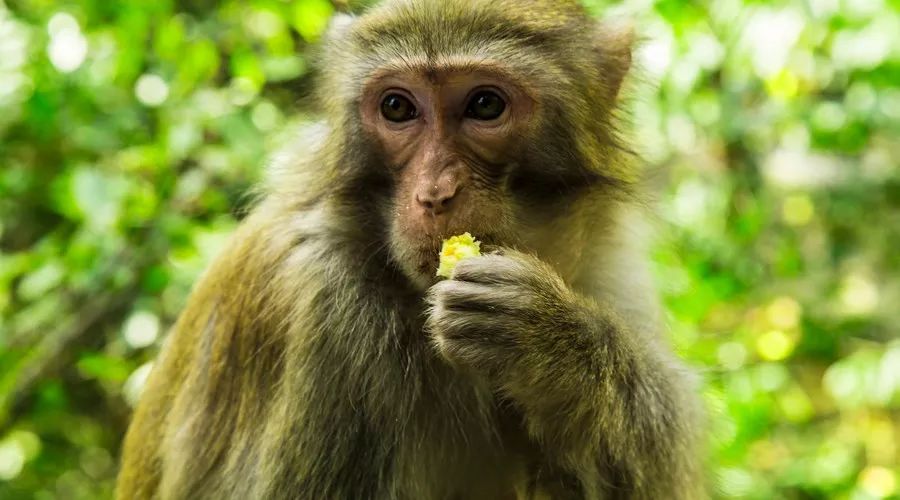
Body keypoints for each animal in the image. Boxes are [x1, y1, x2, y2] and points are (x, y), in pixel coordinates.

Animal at [114, 0, 704, 500]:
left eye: (485, 104)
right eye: (397, 107)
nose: (435, 193)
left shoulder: (606, 255)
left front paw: (557, 345)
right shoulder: (326, 308)